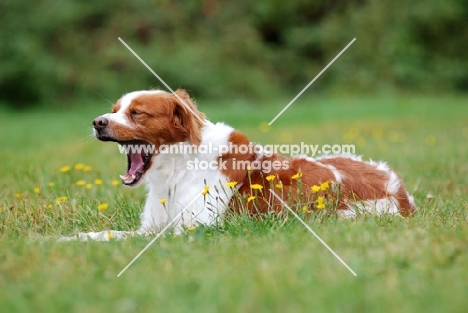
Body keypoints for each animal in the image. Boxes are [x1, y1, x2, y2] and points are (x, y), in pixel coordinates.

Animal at [60, 89, 414, 240]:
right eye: (114, 110)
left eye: (137, 113)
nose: (98, 122)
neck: (178, 168)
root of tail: (400, 191)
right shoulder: (153, 226)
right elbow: (104, 234)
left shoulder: (197, 228)